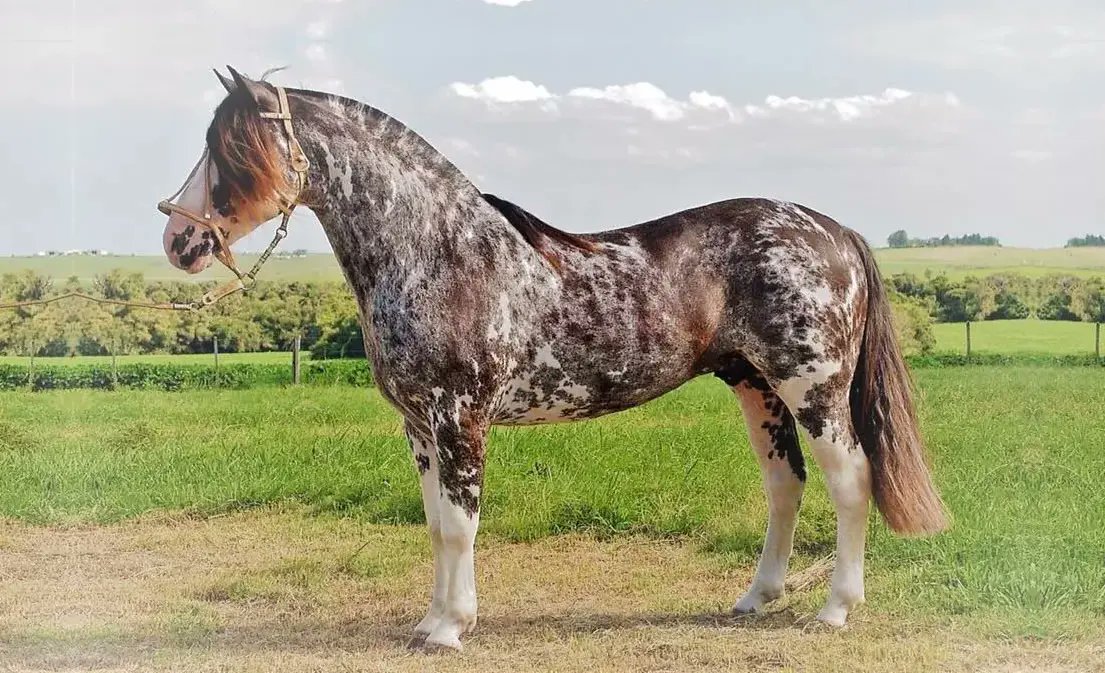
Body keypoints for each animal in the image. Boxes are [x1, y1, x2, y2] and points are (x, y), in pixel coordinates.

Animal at [160, 66, 948, 652]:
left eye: (228, 148)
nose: (178, 240)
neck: (437, 252)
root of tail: (832, 230)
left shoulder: (458, 418)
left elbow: (460, 523)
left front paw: (450, 629)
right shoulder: (419, 425)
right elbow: (436, 523)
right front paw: (429, 620)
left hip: (813, 386)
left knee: (851, 480)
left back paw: (834, 610)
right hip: (755, 386)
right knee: (785, 484)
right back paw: (754, 598)